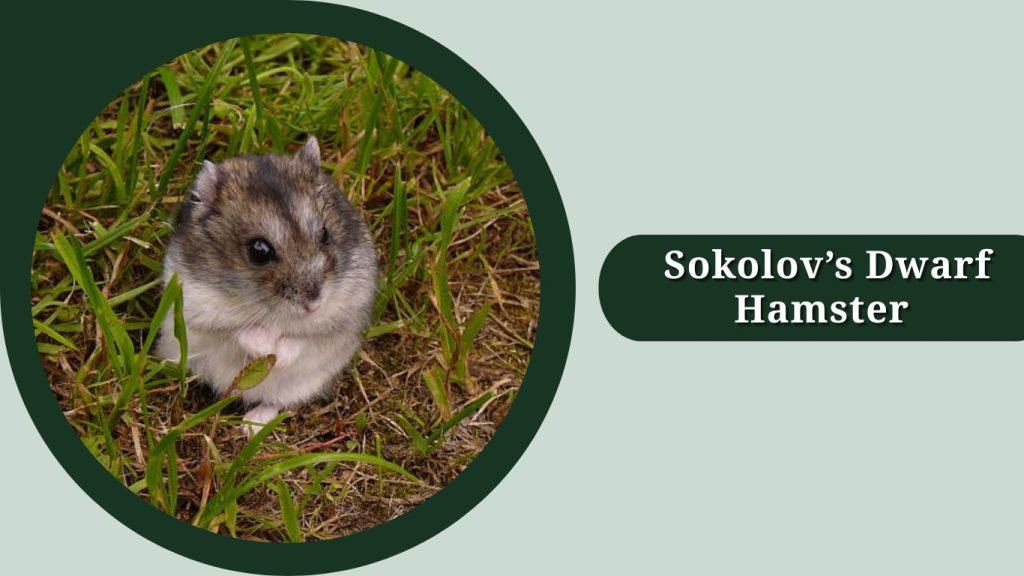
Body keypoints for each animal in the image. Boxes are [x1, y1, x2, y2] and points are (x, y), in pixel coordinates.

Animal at [155, 137, 377, 434]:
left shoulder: (344, 317)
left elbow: (301, 340)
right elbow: (240, 331)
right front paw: (267, 350)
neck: (274, 311)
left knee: (276, 402)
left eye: (325, 234)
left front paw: (278, 357)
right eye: (259, 251)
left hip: (305, 383)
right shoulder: (199, 309)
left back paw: (251, 426)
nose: (314, 305)